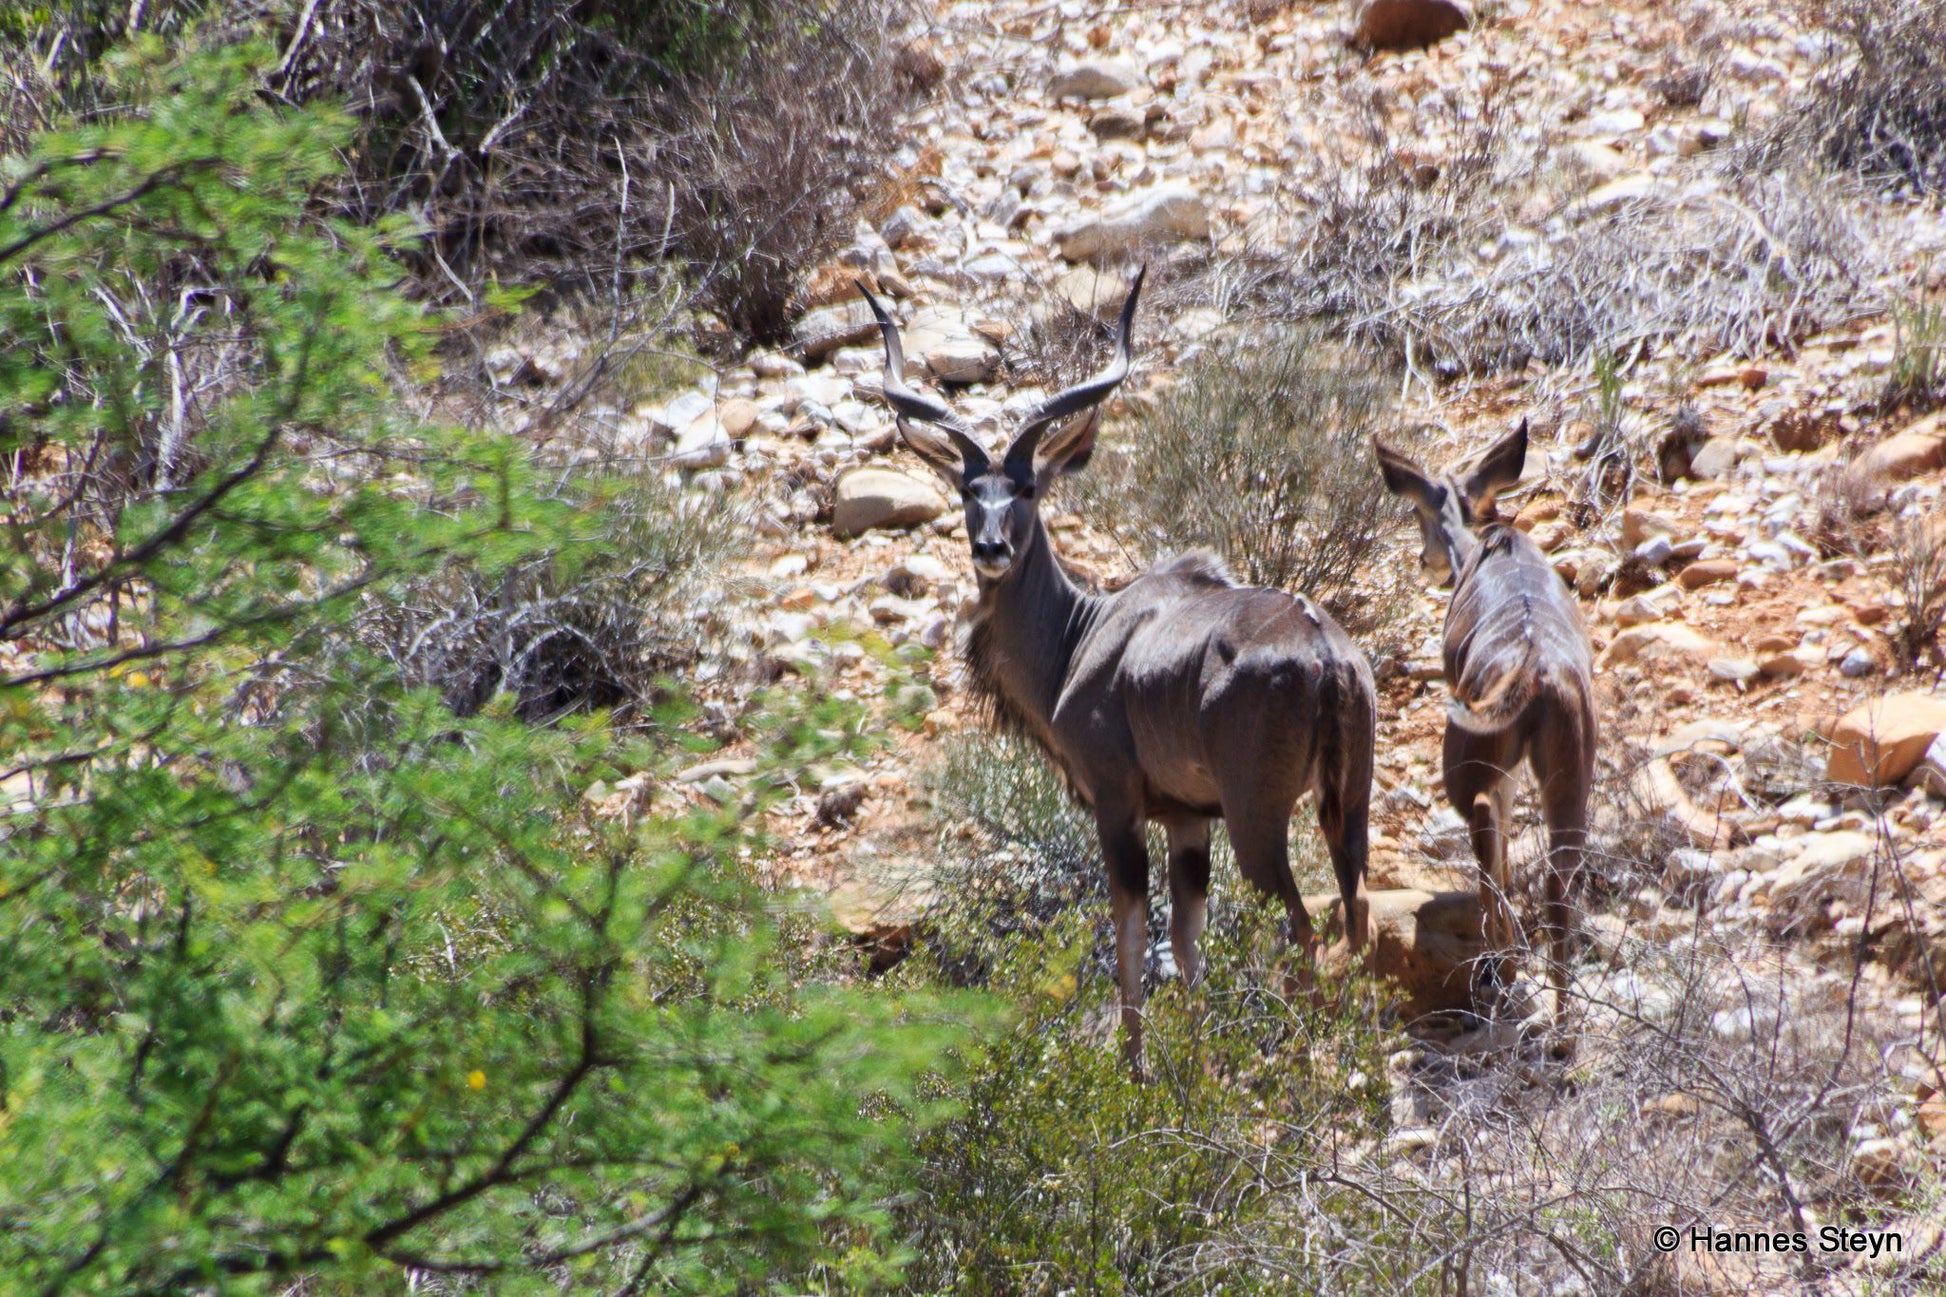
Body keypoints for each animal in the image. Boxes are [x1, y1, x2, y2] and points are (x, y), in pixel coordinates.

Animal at [860, 264, 1377, 1067]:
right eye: (969, 491)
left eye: (1026, 489)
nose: (991, 549)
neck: (1083, 634)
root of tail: (1325, 651)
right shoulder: (1188, 821)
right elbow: (1188, 941)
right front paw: (1198, 1064)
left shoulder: (1117, 802)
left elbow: (1131, 932)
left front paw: (1135, 1071)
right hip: (1346, 805)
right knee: (1359, 916)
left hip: (1259, 820)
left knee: (1301, 926)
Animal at [1377, 422, 1587, 1028]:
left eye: (1415, 511)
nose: (1425, 562)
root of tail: (1535, 670)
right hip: (1571, 764)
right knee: (1560, 872)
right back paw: (1563, 1028)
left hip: (1468, 748)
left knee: (1479, 820)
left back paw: (1499, 965)